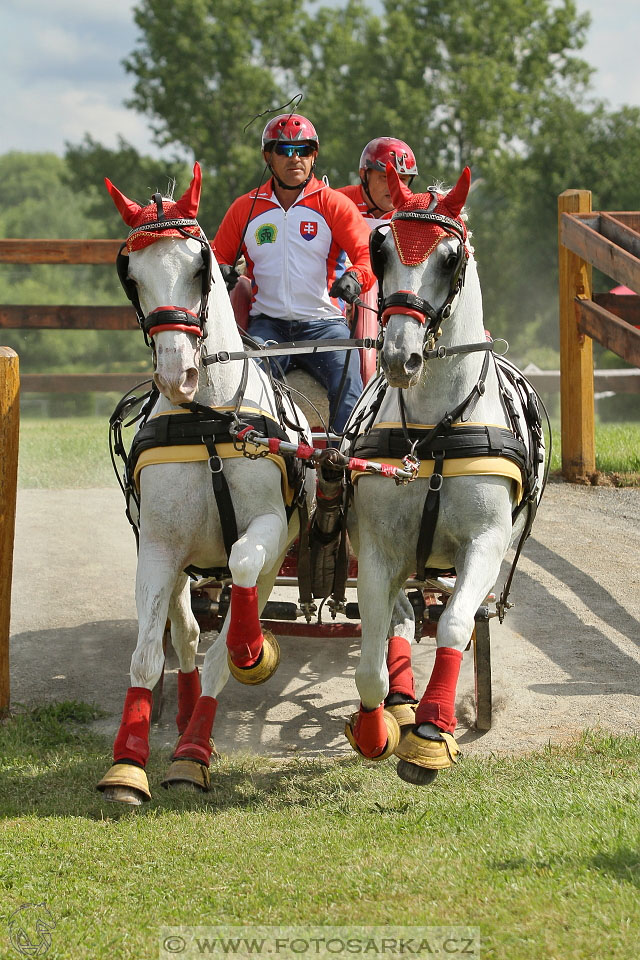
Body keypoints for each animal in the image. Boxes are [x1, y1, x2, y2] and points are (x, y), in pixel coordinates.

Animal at [96, 163, 314, 804]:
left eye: (200, 267)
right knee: (187, 632)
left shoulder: (271, 530)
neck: (209, 420)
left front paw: (195, 751)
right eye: (132, 277)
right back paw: (185, 710)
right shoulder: (158, 546)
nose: (179, 372)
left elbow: (238, 595)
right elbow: (149, 655)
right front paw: (127, 763)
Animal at [340, 163, 544, 780]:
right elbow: (371, 654)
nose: (398, 356)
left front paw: (431, 732)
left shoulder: (485, 542)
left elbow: (454, 624)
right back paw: (401, 701)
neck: (433, 434)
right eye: (380, 248)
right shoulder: (377, 549)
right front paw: (378, 725)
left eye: (451, 257)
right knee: (404, 617)